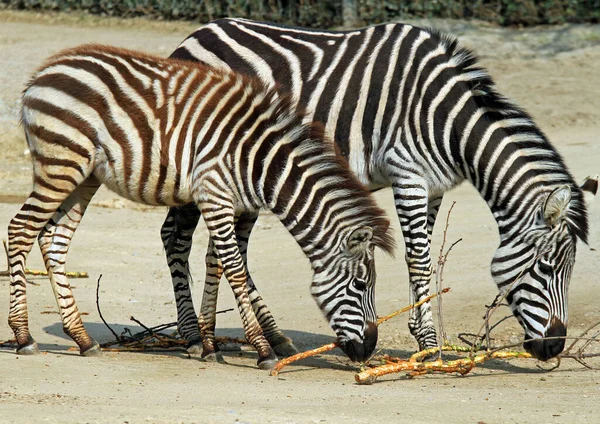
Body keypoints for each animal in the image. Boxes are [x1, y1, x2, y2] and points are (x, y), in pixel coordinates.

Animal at [9, 44, 396, 368]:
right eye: (361, 285)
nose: (368, 351)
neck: (259, 162)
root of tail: (42, 73)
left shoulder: (231, 204)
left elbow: (217, 263)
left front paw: (209, 343)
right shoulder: (214, 194)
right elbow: (235, 269)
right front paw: (262, 349)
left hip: (84, 175)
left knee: (54, 239)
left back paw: (82, 338)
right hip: (61, 164)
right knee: (20, 230)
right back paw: (24, 337)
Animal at [162, 17, 596, 362]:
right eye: (547, 267)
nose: (555, 347)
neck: (447, 120)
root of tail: (200, 31)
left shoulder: (433, 186)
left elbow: (420, 257)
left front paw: (419, 333)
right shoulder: (407, 174)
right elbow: (418, 259)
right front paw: (429, 346)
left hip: (252, 171)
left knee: (225, 250)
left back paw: (264, 338)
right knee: (175, 236)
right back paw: (194, 338)